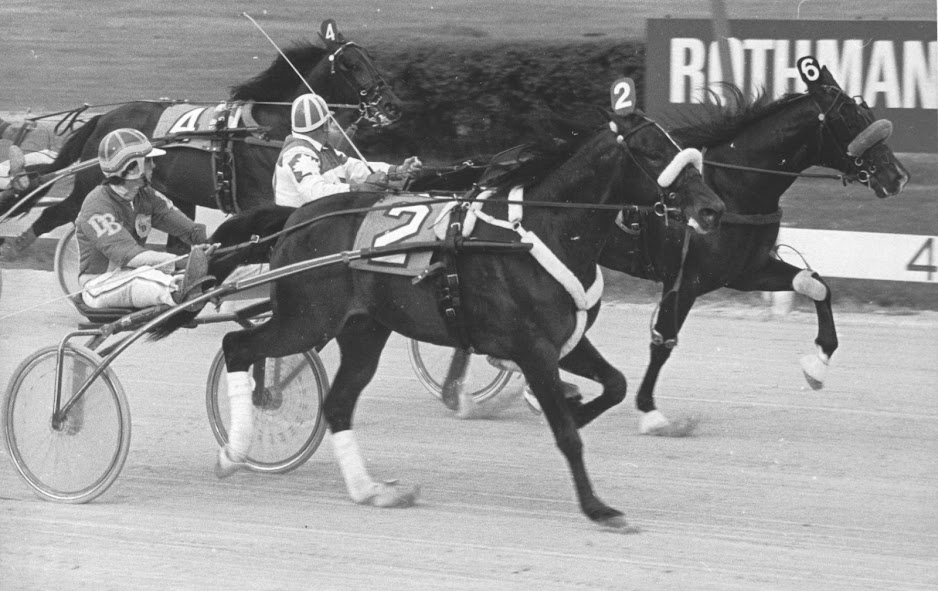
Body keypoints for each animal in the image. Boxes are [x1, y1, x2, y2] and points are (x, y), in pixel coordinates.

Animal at [0, 20, 398, 260]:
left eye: (369, 58)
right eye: (350, 65)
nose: (391, 104)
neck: (269, 127)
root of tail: (104, 119)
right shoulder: (261, 198)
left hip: (178, 193)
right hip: (91, 183)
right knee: (54, 212)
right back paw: (16, 245)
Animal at [154, 110, 724, 528]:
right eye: (653, 151)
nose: (713, 208)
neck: (540, 231)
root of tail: (296, 219)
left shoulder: (564, 341)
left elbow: (615, 384)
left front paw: (575, 407)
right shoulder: (532, 346)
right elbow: (567, 433)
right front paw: (597, 506)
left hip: (364, 331)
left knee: (337, 404)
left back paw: (370, 491)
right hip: (308, 319)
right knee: (239, 348)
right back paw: (234, 452)